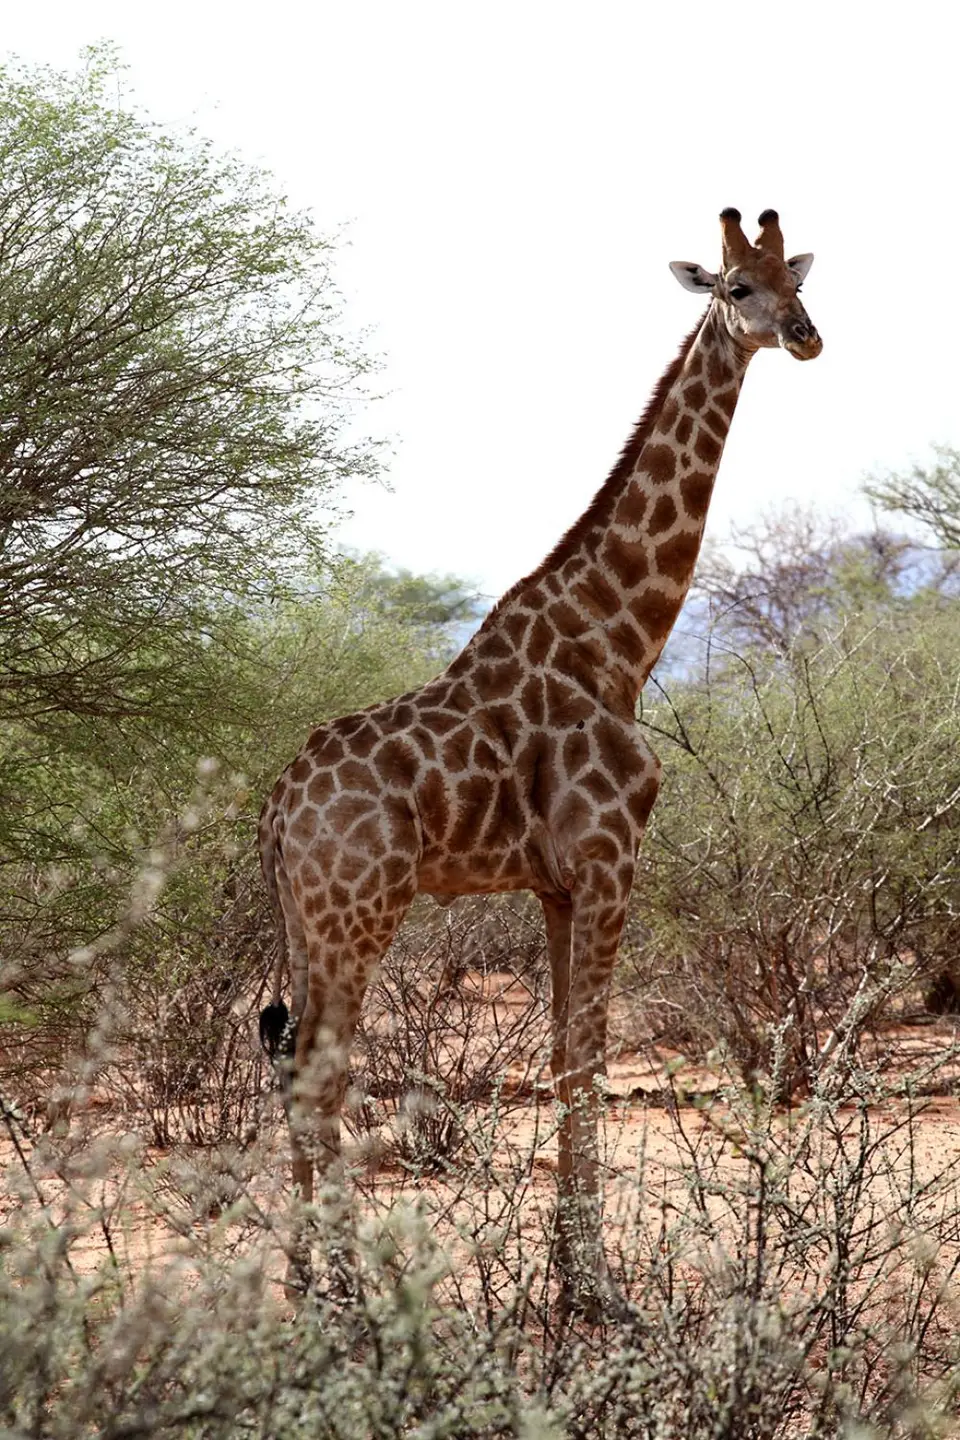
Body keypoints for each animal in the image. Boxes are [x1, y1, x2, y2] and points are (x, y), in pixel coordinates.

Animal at [259, 208, 822, 1310]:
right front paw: (601, 1290)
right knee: (319, 1074)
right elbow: (588, 1065)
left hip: (306, 919)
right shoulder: (609, 864)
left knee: (294, 1063)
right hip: (359, 911)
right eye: (736, 286)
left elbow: (567, 1059)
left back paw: (304, 1282)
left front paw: (570, 1279)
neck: (618, 643)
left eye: (801, 280)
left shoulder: (558, 885)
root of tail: (278, 806)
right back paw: (348, 1292)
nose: (806, 335)